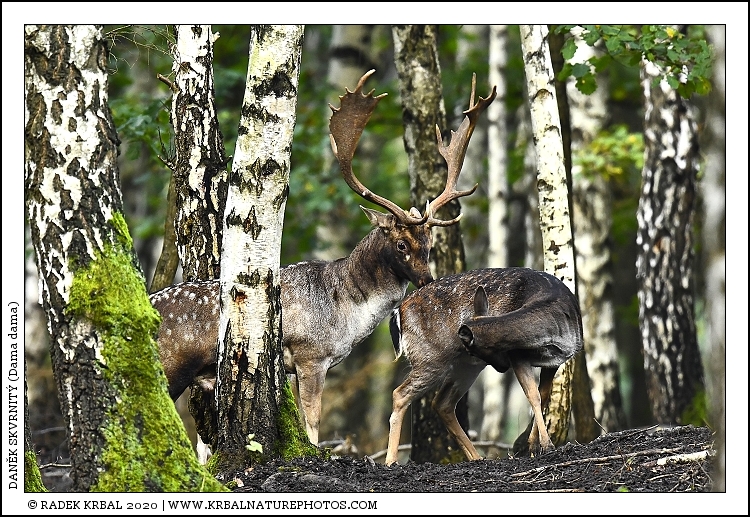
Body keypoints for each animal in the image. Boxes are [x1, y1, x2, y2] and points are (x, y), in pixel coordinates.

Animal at [150, 69, 497, 451]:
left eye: (429, 243)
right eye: (401, 244)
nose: (427, 281)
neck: (346, 314)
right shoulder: (309, 354)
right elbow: (313, 420)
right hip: (172, 364)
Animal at [385, 267, 583, 466]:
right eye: (496, 347)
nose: (503, 367)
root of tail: (398, 312)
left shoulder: (554, 363)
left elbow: (543, 396)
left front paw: (535, 446)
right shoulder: (518, 355)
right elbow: (533, 395)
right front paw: (547, 446)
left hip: (465, 366)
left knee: (442, 403)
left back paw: (477, 457)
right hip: (431, 357)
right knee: (400, 393)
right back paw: (391, 460)